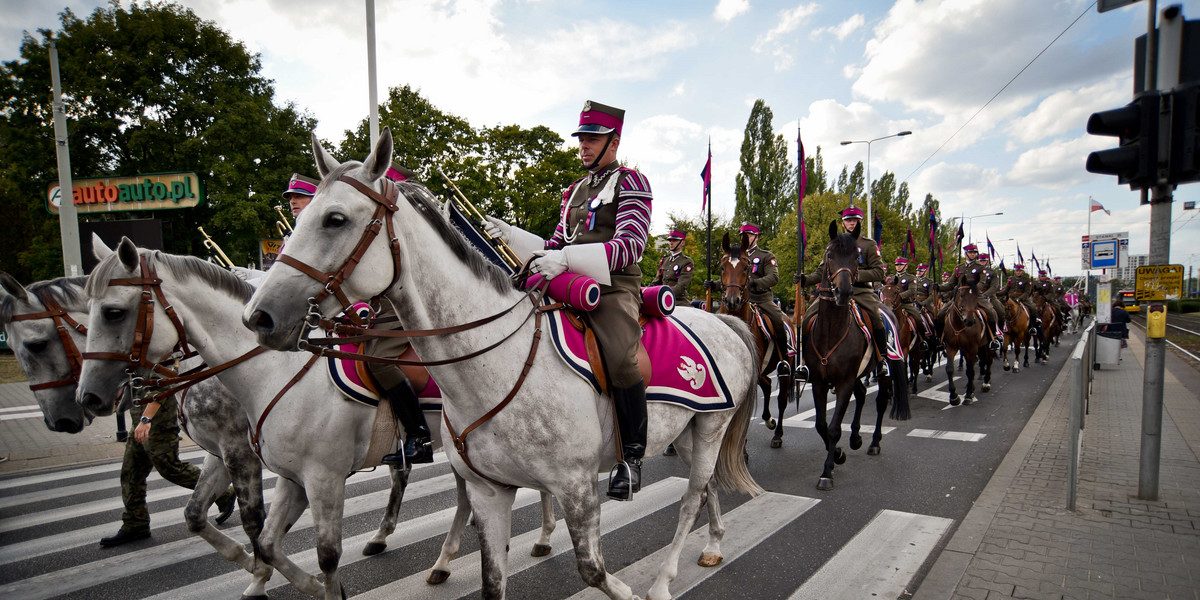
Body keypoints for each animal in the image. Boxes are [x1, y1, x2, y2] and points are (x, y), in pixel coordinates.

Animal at [77, 241, 554, 597]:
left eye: (114, 311)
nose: (89, 397)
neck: (272, 372)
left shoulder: (310, 474)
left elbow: (303, 544)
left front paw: (274, 578)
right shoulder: (263, 466)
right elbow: (239, 531)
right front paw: (260, 571)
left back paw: (544, 537)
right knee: (463, 499)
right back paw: (441, 560)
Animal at [243, 130, 763, 600]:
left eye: (335, 219)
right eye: (301, 218)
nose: (259, 316)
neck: (494, 364)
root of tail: (721, 319)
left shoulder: (577, 487)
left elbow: (593, 570)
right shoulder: (489, 492)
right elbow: (494, 580)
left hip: (711, 428)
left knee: (691, 499)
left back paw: (661, 581)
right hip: (689, 434)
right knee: (707, 490)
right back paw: (713, 545)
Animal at [715, 231, 792, 448]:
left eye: (747, 266)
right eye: (722, 266)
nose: (732, 300)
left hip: (785, 368)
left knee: (781, 398)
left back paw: (778, 433)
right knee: (767, 385)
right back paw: (768, 420)